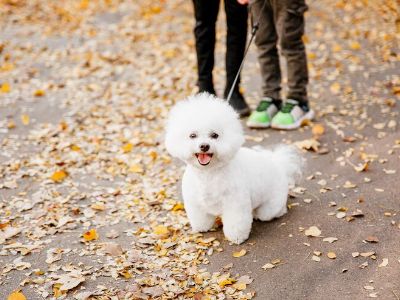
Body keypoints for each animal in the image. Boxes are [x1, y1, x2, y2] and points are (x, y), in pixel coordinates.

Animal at [165, 93, 300, 244]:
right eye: (192, 135)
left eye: (214, 135)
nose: (204, 146)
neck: (208, 174)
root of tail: (279, 164)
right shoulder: (195, 203)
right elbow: (201, 218)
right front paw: (202, 228)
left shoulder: (235, 204)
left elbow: (236, 222)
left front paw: (236, 237)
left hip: (271, 205)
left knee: (271, 212)